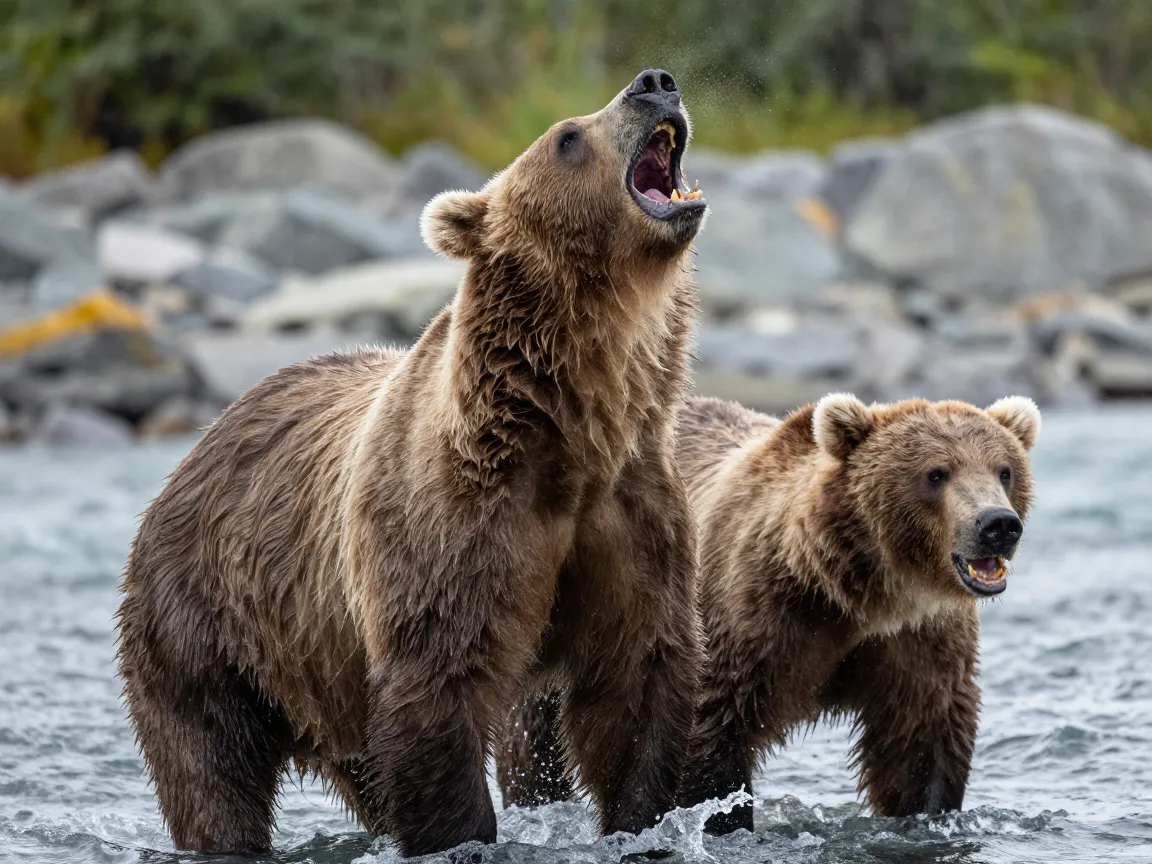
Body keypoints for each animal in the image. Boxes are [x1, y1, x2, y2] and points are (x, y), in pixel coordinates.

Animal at [115, 68, 708, 858]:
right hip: (203, 618)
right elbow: (439, 689)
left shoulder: (634, 518)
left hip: (320, 667)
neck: (573, 432)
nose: (655, 82)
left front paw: (643, 820)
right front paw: (465, 835)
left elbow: (636, 686)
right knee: (208, 762)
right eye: (566, 136)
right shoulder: (454, 523)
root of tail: (194, 447)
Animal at [496, 393, 1040, 835]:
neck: (861, 590)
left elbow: (921, 741)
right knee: (534, 733)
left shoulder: (919, 639)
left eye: (1004, 469)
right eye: (936, 473)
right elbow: (713, 732)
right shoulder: (756, 615)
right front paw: (724, 821)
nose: (997, 524)